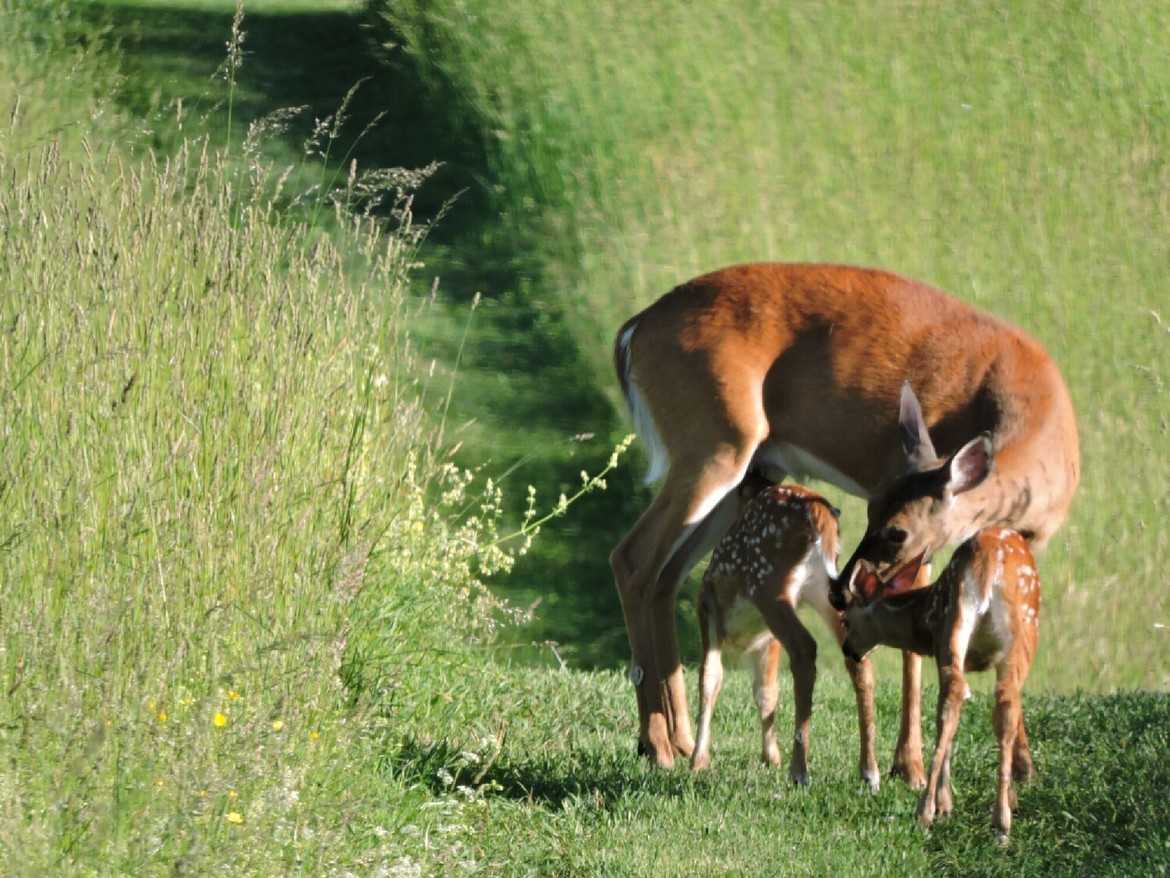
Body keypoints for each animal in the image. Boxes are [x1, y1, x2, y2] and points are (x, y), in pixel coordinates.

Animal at [691, 476, 880, 789]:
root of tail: (819, 513)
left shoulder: (709, 607)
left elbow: (710, 678)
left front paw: (698, 761)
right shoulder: (766, 640)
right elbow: (766, 692)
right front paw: (771, 757)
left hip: (768, 583)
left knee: (804, 648)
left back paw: (800, 771)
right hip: (821, 589)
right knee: (856, 656)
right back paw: (869, 771)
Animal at [840, 526, 1040, 842]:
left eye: (847, 621)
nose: (847, 649)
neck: (922, 619)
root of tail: (990, 561)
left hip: (961, 623)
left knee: (965, 697)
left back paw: (940, 813)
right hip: (983, 625)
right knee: (988, 698)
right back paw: (987, 821)